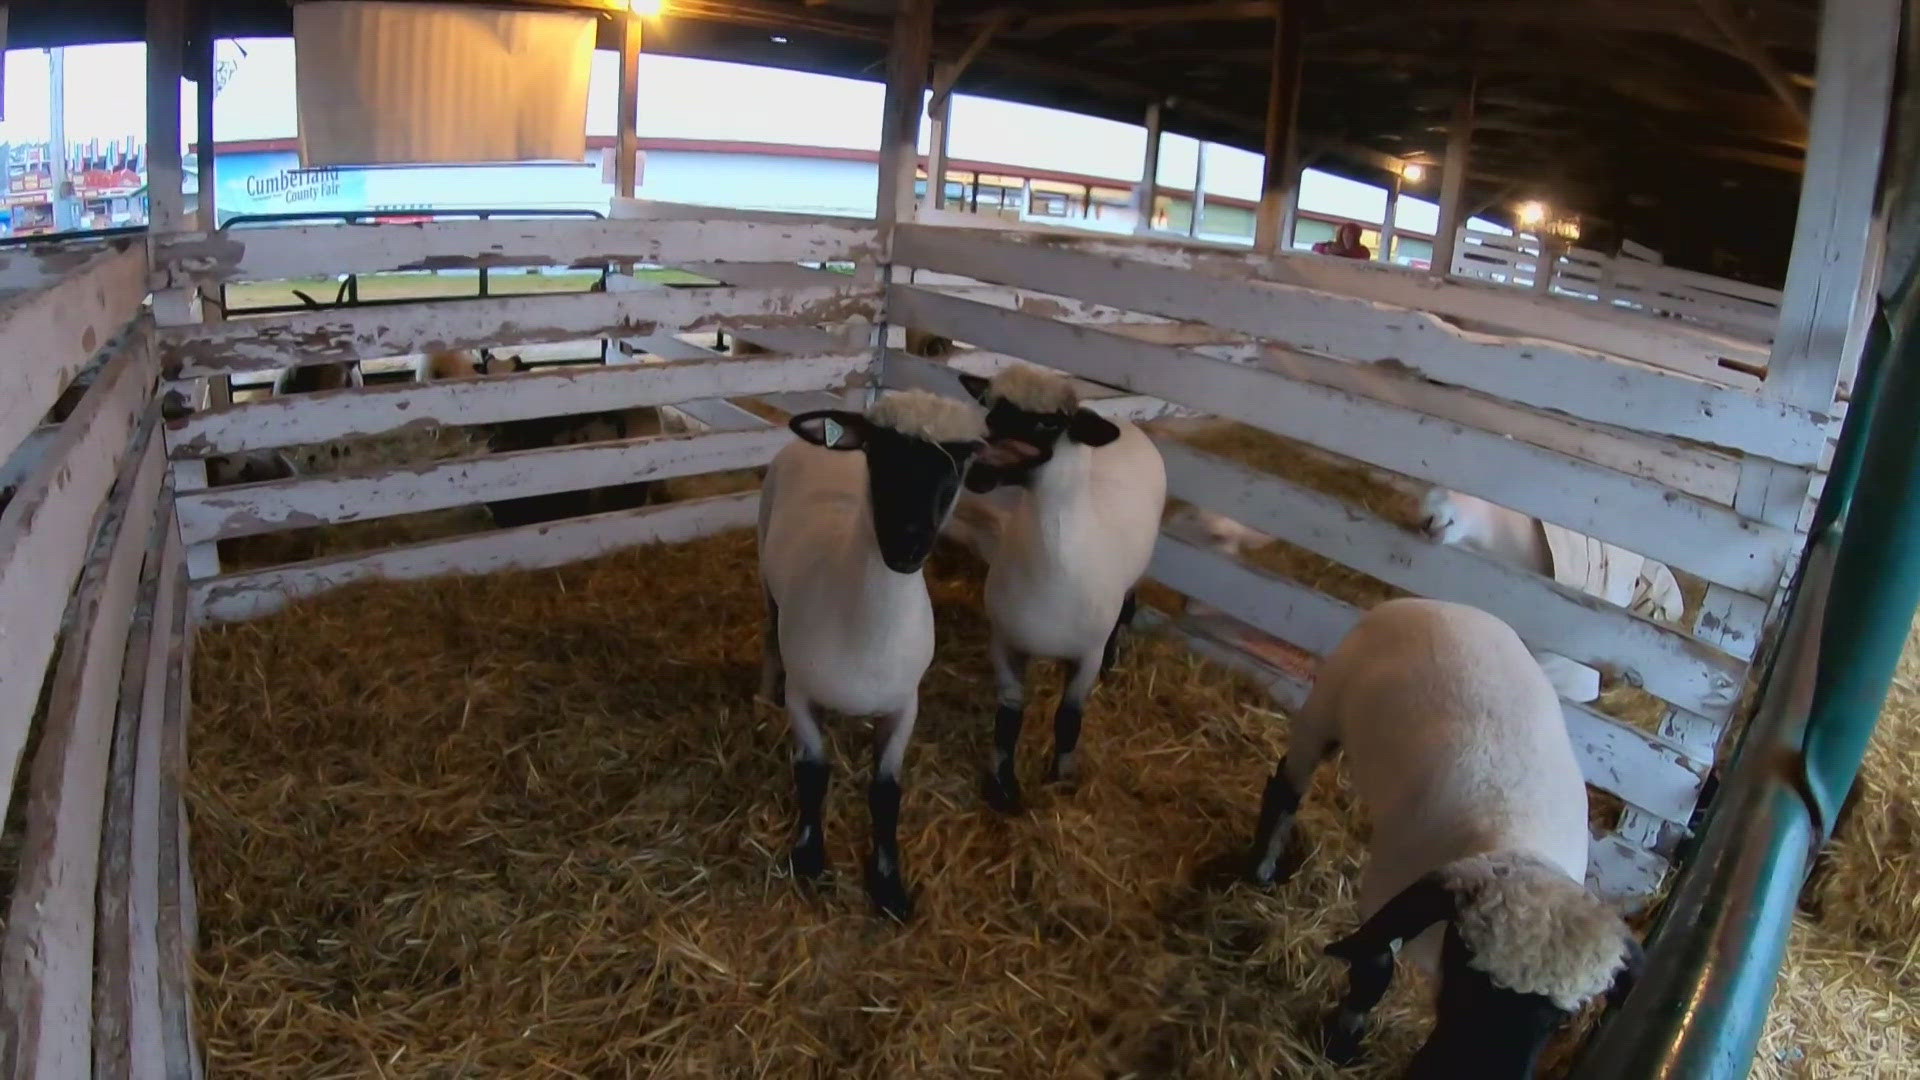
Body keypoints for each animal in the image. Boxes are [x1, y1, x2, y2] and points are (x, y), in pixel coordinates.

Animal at [752, 386, 990, 914]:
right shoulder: (803, 697)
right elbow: (813, 774)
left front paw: (887, 885)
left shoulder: (905, 706)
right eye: (879, 454)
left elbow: (885, 793)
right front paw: (808, 858)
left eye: (961, 465)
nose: (907, 545)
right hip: (764, 565)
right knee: (769, 633)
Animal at [960, 361, 1167, 807]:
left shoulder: (1085, 655)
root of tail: (1127, 423)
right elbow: (1009, 718)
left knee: (1127, 610)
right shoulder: (1006, 644)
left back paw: (1114, 663)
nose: (977, 469)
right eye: (987, 406)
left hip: (1135, 576)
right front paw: (1003, 787)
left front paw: (1062, 778)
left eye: (1048, 423)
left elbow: (1068, 718)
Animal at [1221, 591, 1643, 1068]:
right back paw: (1261, 870)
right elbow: (1373, 966)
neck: (1518, 837)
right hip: (1325, 706)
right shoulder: (1386, 896)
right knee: (1286, 789)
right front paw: (1342, 1044)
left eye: (1561, 1017)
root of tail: (1440, 604)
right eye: (1467, 972)